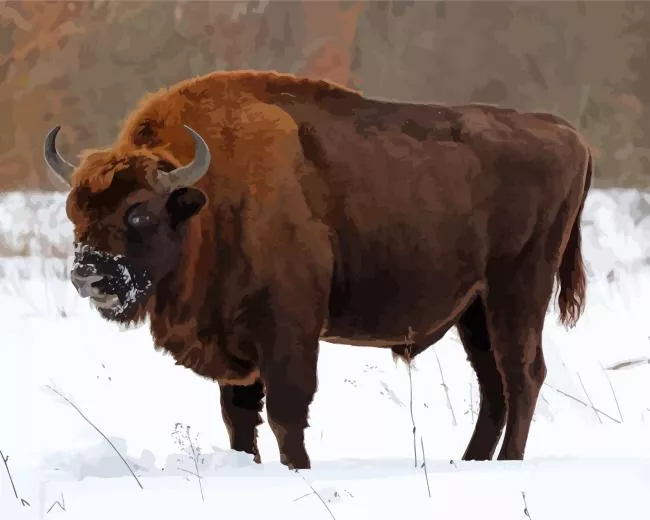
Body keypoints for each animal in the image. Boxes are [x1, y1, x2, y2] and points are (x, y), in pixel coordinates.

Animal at [44, 70, 592, 469]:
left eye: (140, 213)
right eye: (75, 211)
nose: (88, 275)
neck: (211, 200)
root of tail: (569, 134)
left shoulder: (289, 330)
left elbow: (287, 412)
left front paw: (298, 469)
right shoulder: (235, 344)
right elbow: (239, 420)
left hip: (517, 291)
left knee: (522, 375)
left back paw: (508, 462)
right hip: (474, 310)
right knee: (493, 385)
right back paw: (473, 461)